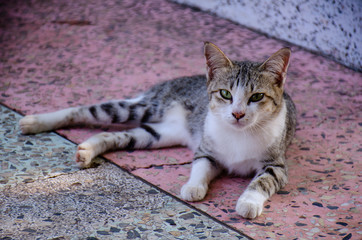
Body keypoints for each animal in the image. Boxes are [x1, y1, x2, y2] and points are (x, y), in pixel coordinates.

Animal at [18, 42, 296, 218]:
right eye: (226, 94)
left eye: (257, 96)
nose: (237, 114)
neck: (239, 133)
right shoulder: (206, 150)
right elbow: (200, 166)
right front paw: (193, 187)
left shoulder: (276, 165)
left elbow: (262, 182)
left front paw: (248, 202)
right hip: (142, 107)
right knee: (86, 110)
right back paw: (36, 121)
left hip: (155, 135)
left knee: (113, 135)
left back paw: (86, 150)